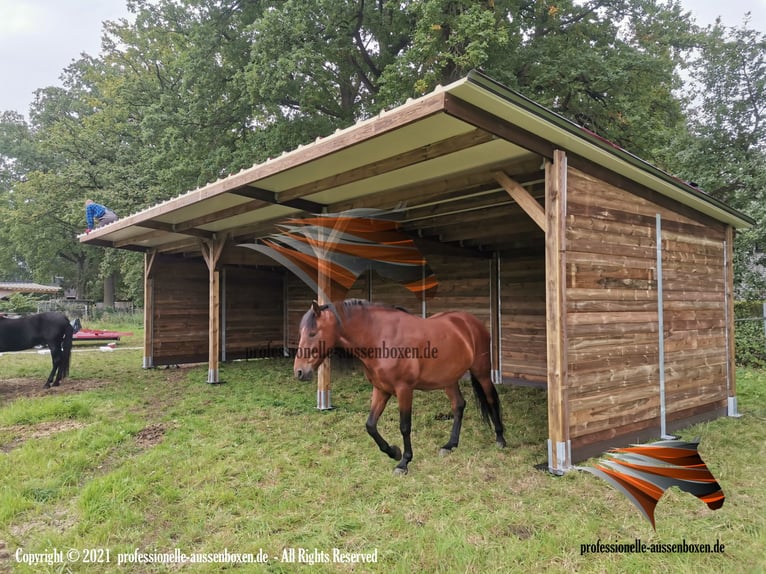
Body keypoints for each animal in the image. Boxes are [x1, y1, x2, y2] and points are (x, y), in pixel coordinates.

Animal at [294, 299, 506, 475]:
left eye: (313, 333)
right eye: (301, 332)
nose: (299, 372)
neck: (380, 338)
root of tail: (470, 322)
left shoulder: (404, 390)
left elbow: (404, 426)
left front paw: (404, 462)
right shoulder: (381, 390)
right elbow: (370, 425)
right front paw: (393, 452)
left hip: (482, 372)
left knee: (490, 398)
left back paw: (500, 439)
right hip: (448, 379)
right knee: (459, 405)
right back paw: (450, 445)